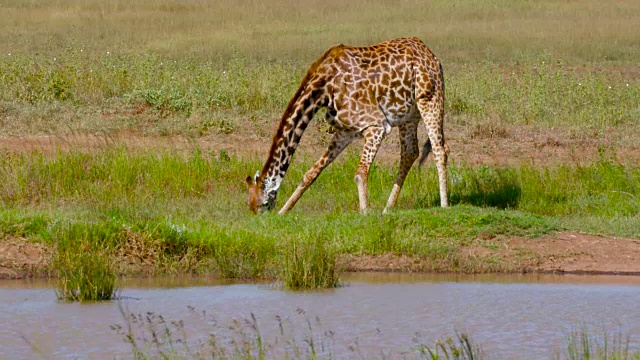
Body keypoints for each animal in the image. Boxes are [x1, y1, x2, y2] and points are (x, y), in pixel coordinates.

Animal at [245, 37, 450, 214]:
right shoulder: (345, 132)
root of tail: (430, 53)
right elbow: (311, 173)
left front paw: (365, 213)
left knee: (440, 149)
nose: (263, 218)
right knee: (410, 152)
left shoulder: (375, 125)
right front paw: (283, 213)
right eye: (251, 206)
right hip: (408, 116)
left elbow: (360, 173)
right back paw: (387, 208)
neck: (324, 88)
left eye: (264, 203)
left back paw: (444, 204)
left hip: (430, 99)